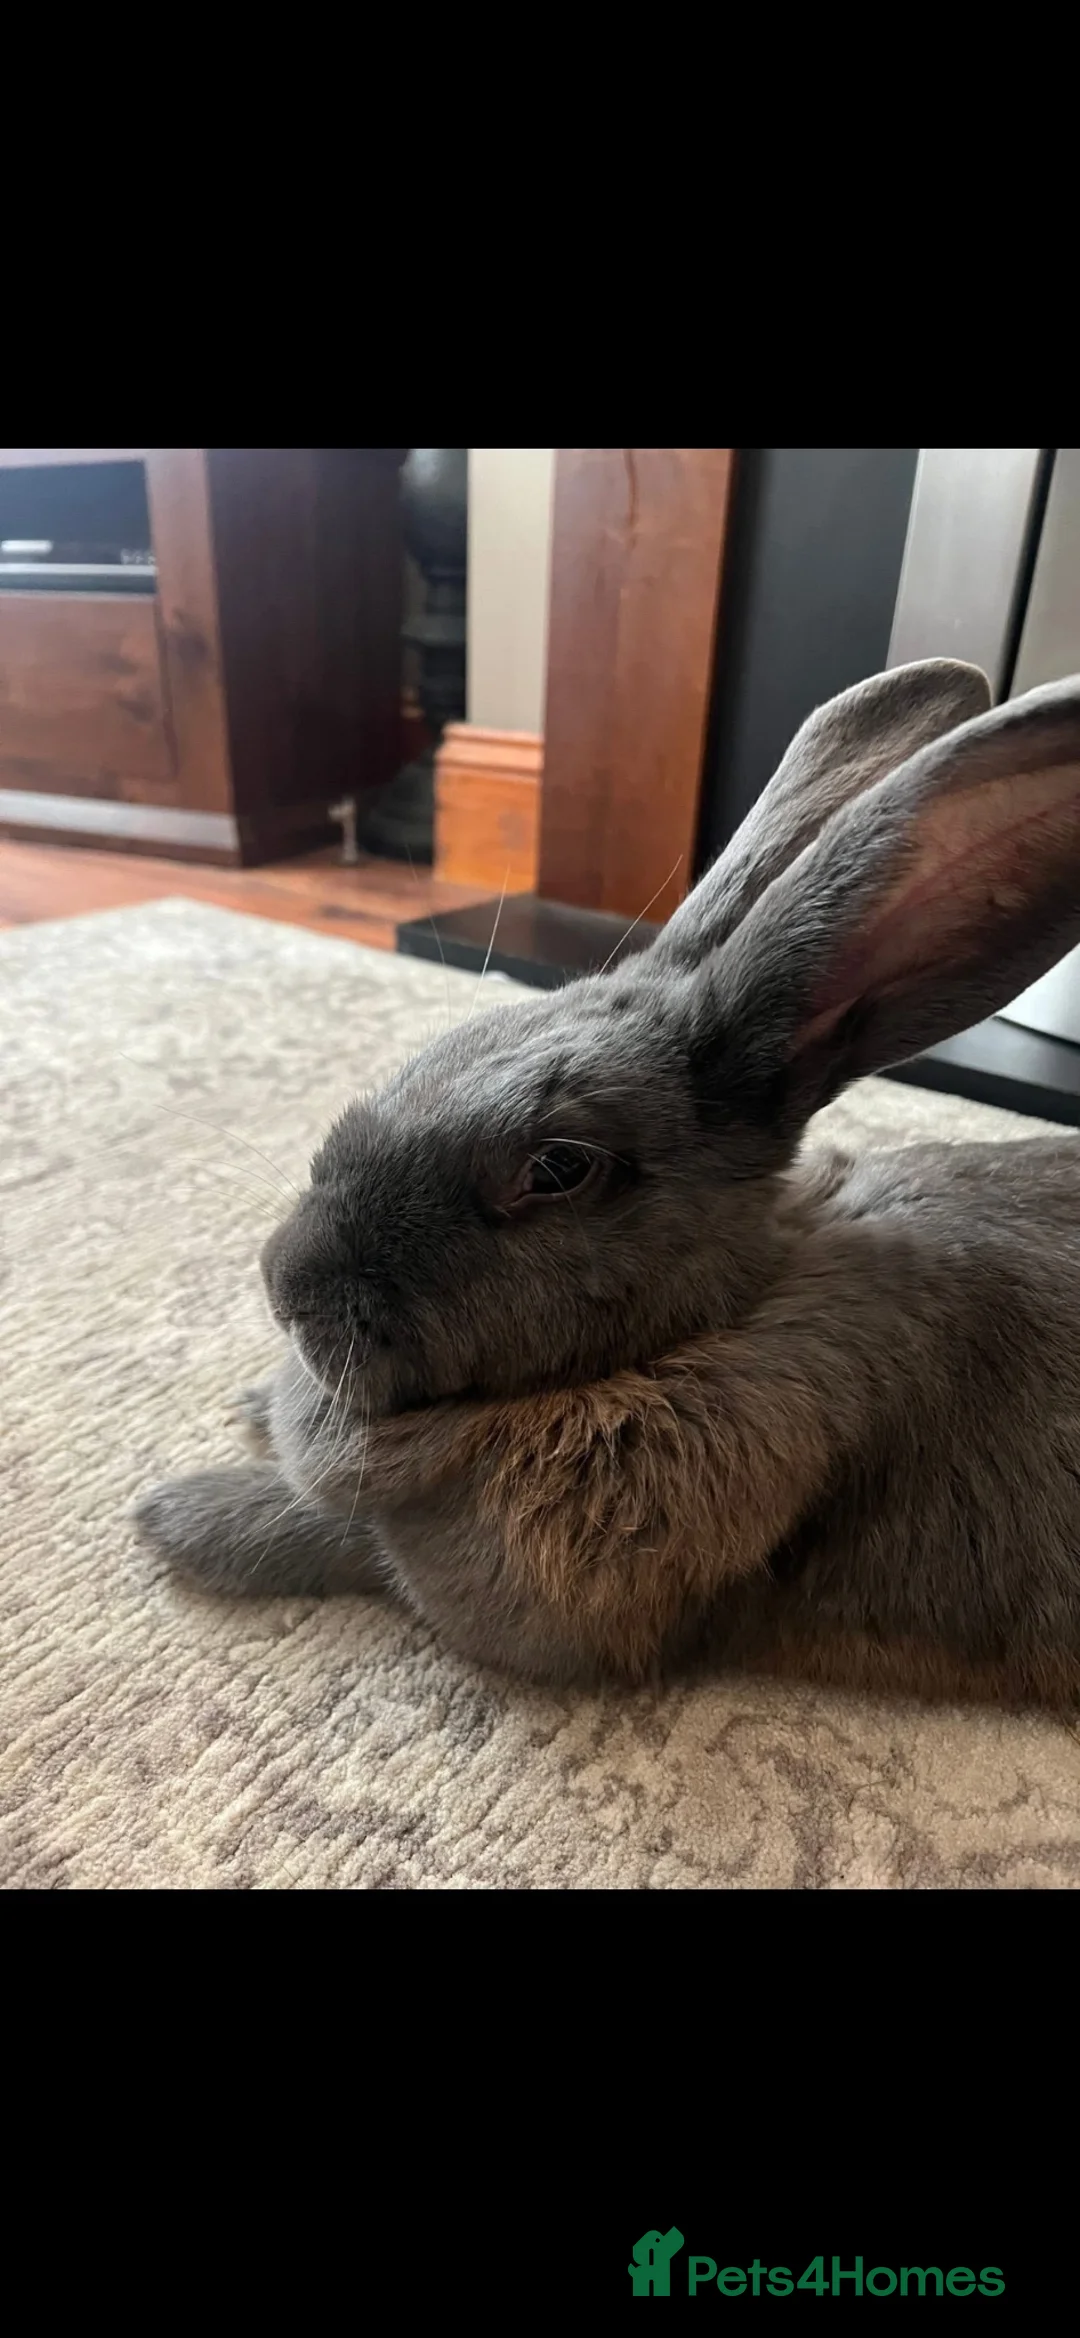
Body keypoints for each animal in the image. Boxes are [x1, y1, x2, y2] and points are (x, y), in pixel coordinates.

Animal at [135, 656, 1080, 1706]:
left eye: (559, 1168)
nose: (283, 1280)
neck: (704, 1330)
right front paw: (253, 1409)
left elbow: (351, 1540)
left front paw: (180, 1516)